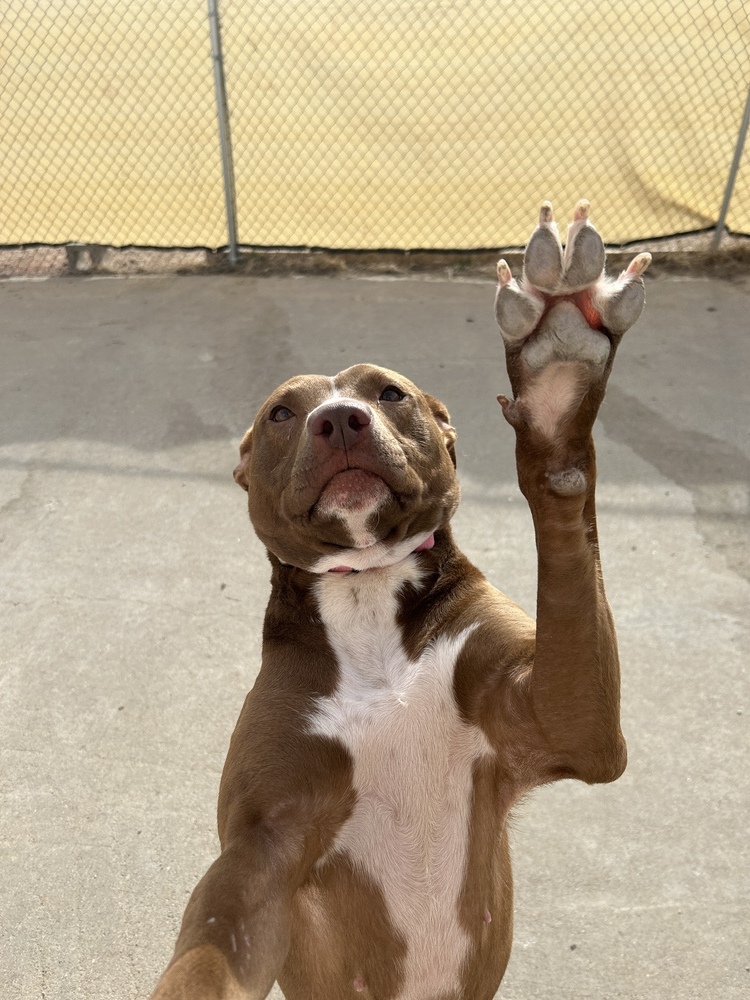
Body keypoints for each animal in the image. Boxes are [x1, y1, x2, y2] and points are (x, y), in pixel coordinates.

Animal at [148, 199, 652, 996]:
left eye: (389, 392)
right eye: (281, 413)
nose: (337, 418)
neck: (367, 597)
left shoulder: (569, 725)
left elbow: (565, 528)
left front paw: (558, 376)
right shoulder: (260, 846)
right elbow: (205, 955)